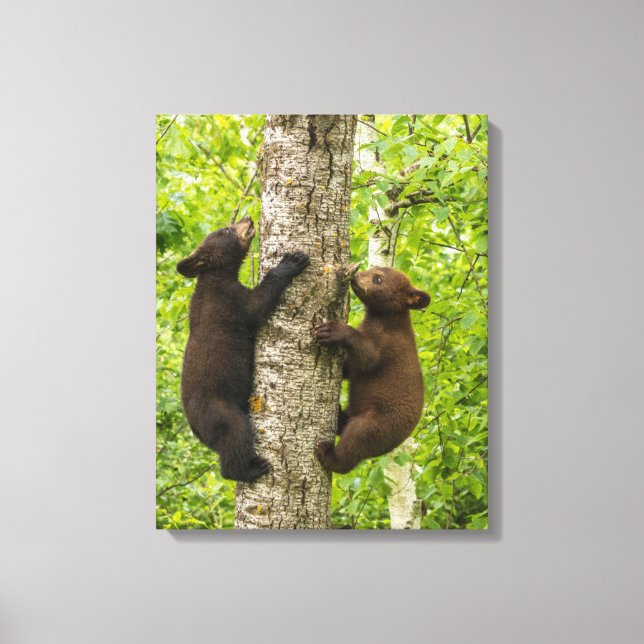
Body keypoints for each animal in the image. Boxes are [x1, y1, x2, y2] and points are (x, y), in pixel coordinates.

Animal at [177, 216, 309, 482]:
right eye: (227, 230)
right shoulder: (228, 301)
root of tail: (195, 429)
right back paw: (251, 469)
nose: (247, 218)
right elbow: (257, 305)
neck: (214, 276)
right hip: (221, 412)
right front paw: (291, 261)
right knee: (235, 434)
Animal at [313, 266, 430, 474]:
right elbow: (351, 367)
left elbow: (367, 357)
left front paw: (332, 331)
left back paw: (329, 455)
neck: (384, 320)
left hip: (379, 424)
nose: (356, 276)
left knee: (357, 439)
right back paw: (340, 415)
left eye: (378, 279)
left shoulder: (389, 345)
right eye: (373, 269)